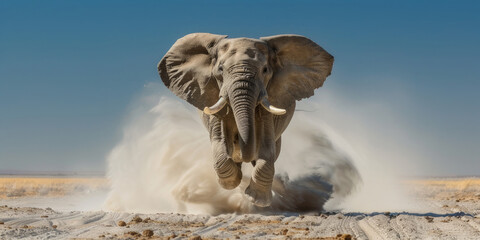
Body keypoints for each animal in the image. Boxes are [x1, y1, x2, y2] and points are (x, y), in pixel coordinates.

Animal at [158, 32, 334, 207]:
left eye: (265, 70)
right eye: (220, 69)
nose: (242, 151)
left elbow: (267, 148)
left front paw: (257, 200)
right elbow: (219, 142)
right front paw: (234, 181)